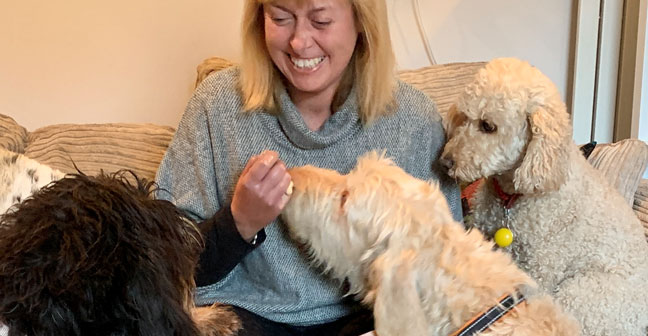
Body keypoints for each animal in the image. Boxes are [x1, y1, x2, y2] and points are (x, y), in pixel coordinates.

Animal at [440, 57, 648, 334]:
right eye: (463, 117)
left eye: (488, 126)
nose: (444, 162)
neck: (512, 197)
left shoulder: (539, 270)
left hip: (581, 294)